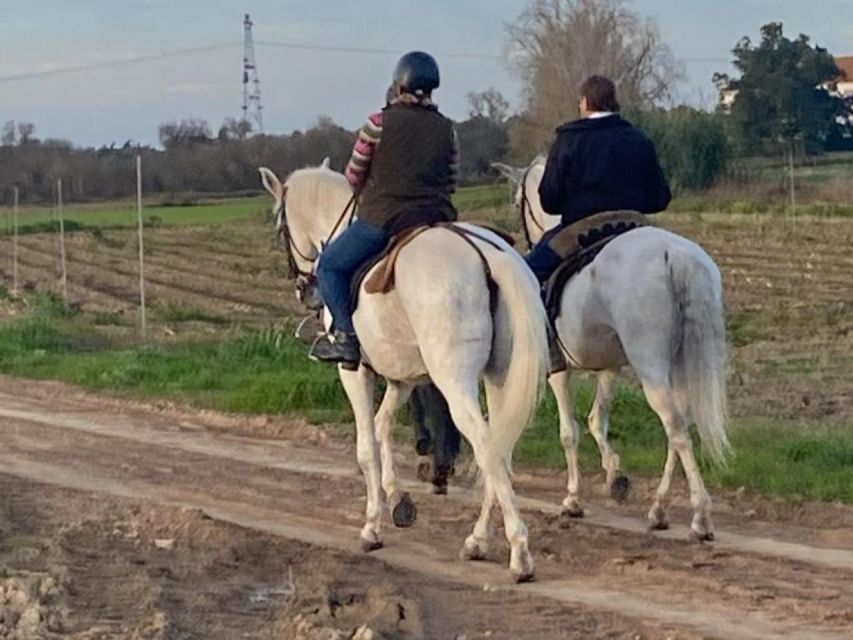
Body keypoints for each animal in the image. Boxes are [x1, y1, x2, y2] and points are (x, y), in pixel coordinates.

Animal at [262, 161, 552, 580]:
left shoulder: (355, 372)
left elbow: (366, 444)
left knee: (487, 448)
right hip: (499, 378)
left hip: (456, 381)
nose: (304, 289)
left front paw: (372, 526)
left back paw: (519, 553)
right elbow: (383, 426)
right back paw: (478, 540)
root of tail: (485, 252)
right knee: (500, 447)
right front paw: (398, 499)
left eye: (280, 225)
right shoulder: (403, 378)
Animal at [492, 156, 724, 540]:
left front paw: (573, 498)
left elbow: (569, 431)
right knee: (681, 425)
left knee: (675, 426)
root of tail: (673, 256)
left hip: (651, 366)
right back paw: (659, 509)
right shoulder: (610, 366)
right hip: (681, 361)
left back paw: (700, 515)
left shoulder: (557, 368)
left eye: (516, 201)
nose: (517, 235)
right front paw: (616, 476)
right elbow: (596, 420)